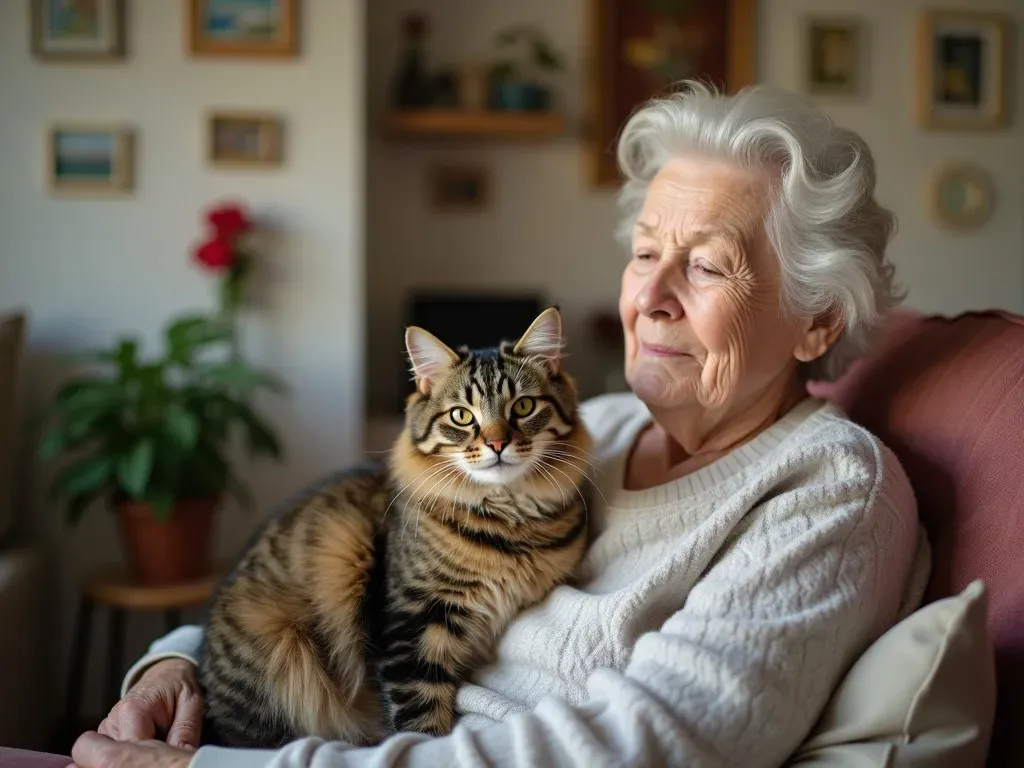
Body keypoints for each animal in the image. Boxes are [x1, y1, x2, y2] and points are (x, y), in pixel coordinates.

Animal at [197, 309, 593, 753]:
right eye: (461, 416)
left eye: (523, 406)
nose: (497, 444)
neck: (507, 519)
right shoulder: (414, 622)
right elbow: (420, 714)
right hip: (280, 642)